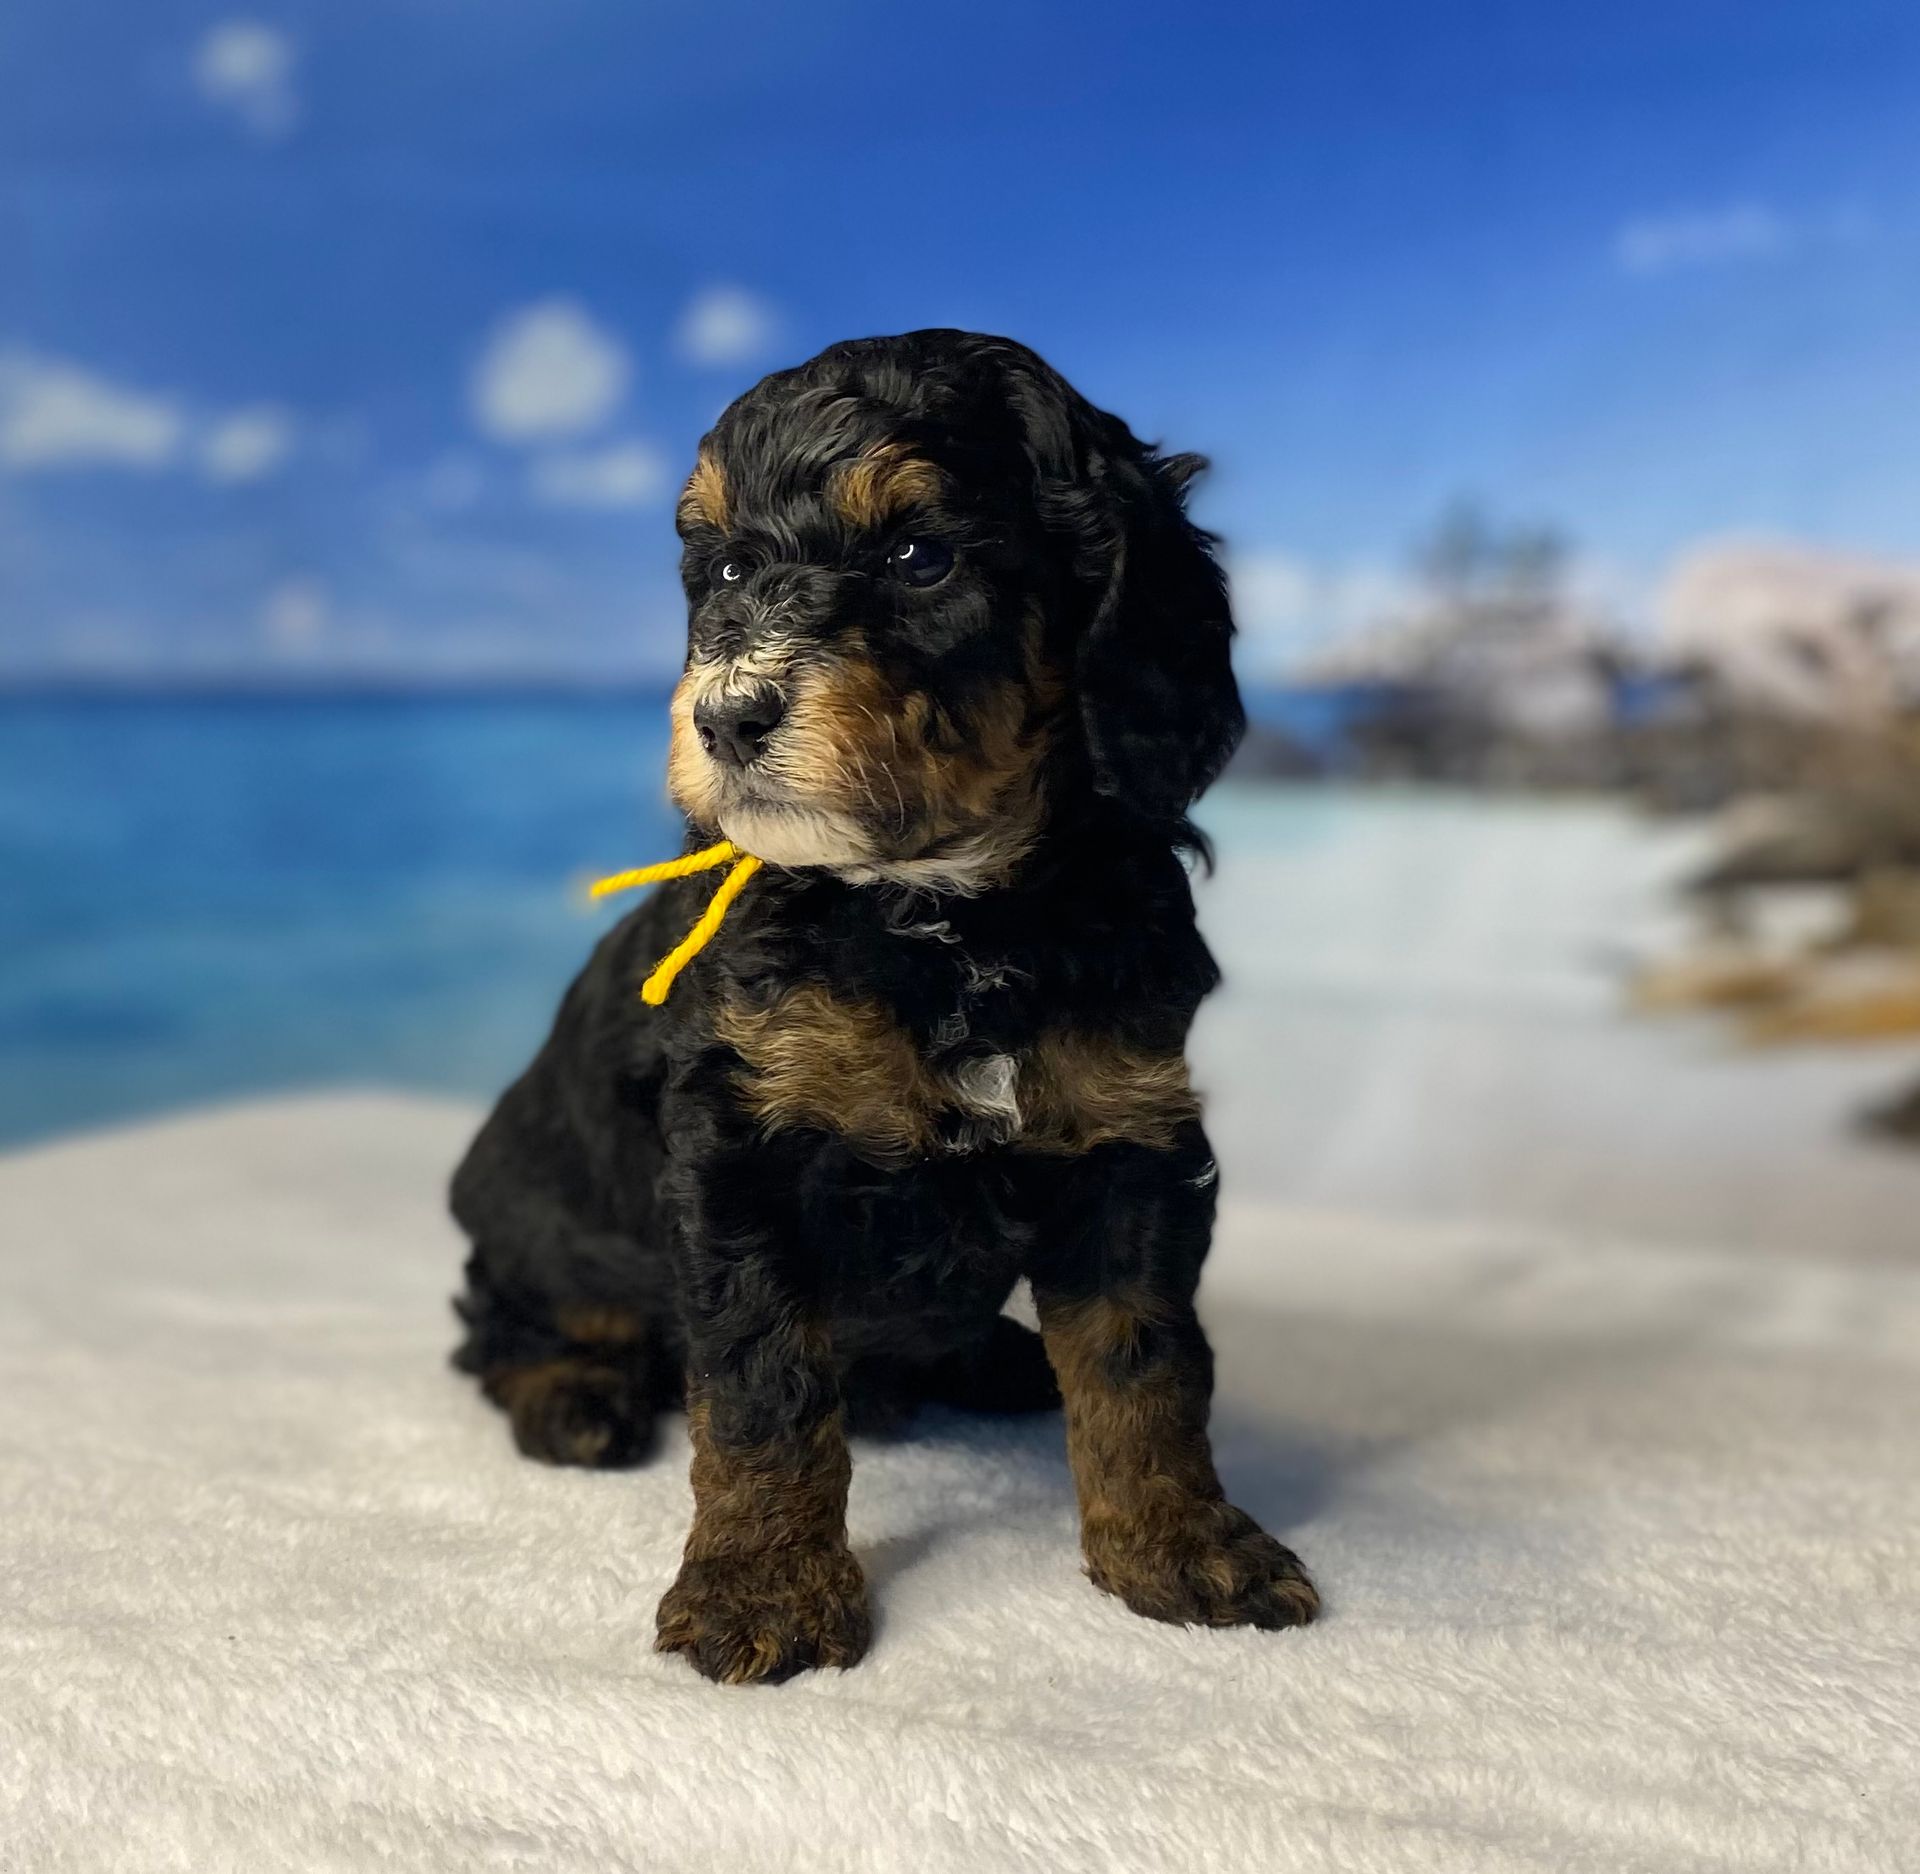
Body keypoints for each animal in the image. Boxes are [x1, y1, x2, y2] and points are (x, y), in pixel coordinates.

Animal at [449, 326, 1320, 1681]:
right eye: (727, 568)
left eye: (921, 558)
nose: (727, 716)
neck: (947, 915)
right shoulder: (738, 1144)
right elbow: (762, 1382)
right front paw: (763, 1585)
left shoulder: (1130, 1128)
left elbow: (1142, 1353)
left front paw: (1180, 1540)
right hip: (531, 1213)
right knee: (504, 1323)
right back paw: (574, 1396)